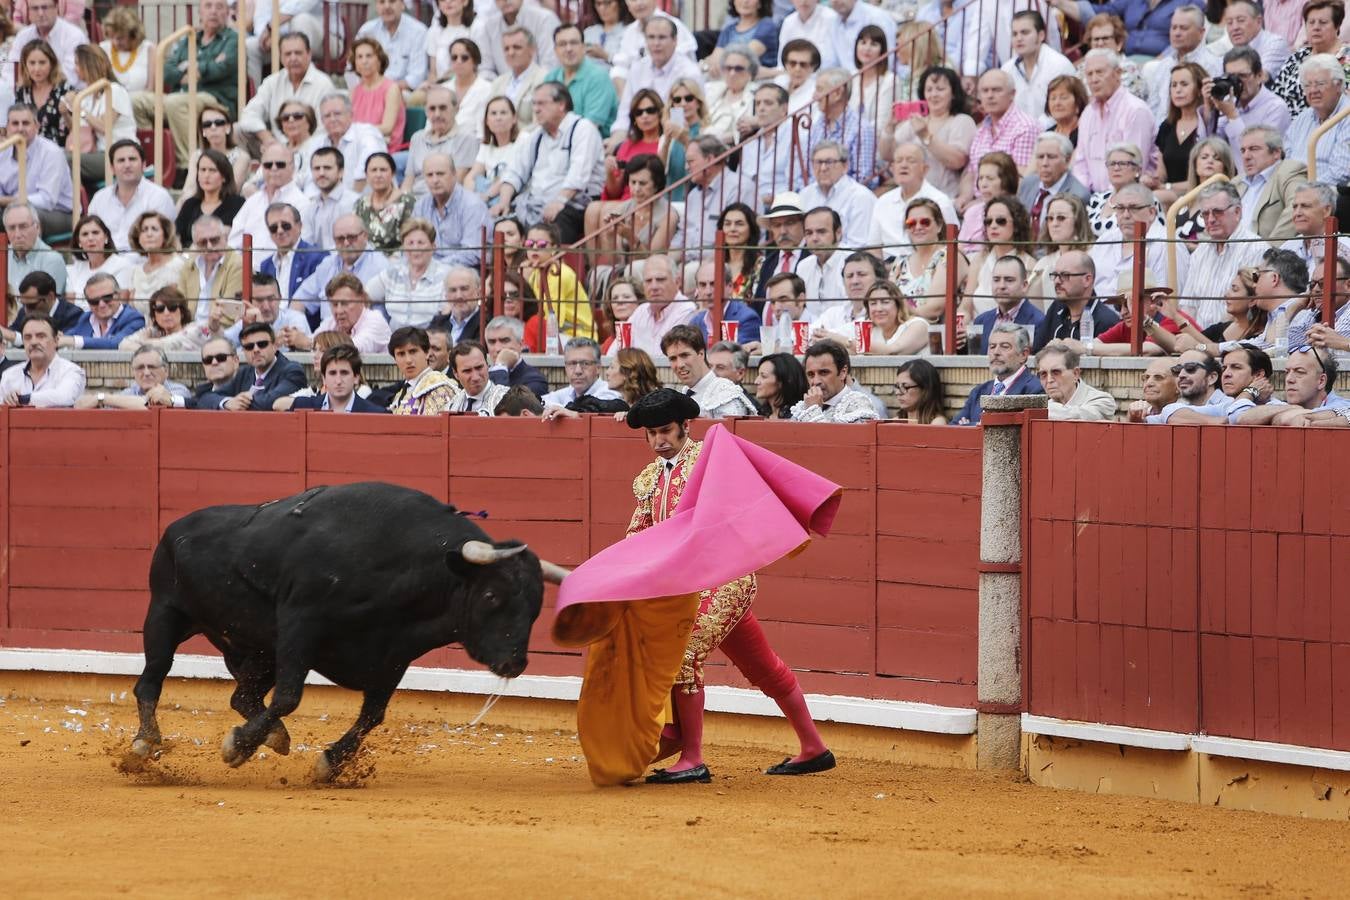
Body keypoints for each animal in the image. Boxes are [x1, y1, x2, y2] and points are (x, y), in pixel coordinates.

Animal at [128, 485, 567, 782]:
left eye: (536, 604)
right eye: (492, 595)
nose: (515, 662)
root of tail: (175, 527)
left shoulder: (393, 654)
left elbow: (373, 714)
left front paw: (329, 763)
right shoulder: (299, 626)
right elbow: (289, 697)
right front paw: (237, 747)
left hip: (258, 649)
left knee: (243, 695)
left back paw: (275, 736)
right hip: (165, 615)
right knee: (150, 682)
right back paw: (143, 746)